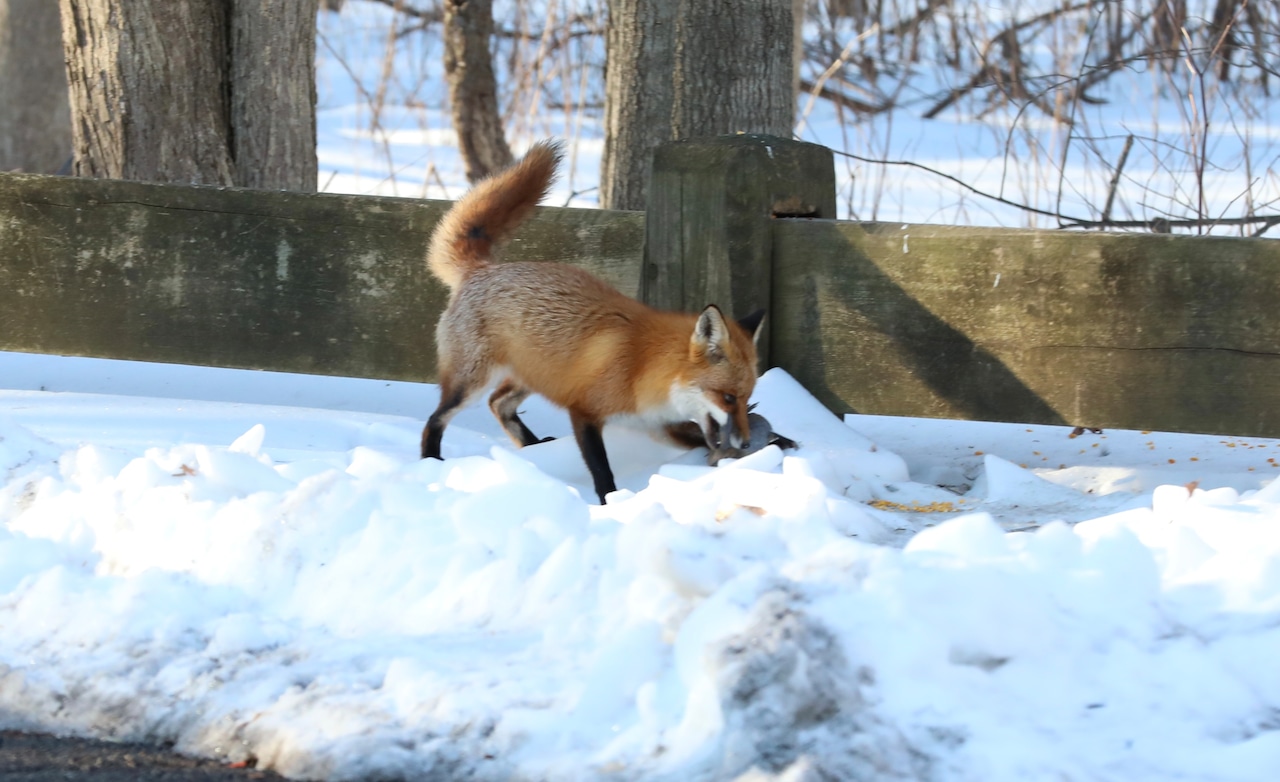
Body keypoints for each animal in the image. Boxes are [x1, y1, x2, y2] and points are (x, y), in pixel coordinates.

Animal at [420, 139, 766, 503]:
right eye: (728, 398)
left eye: (746, 398)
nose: (745, 442)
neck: (643, 367)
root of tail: (482, 270)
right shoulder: (584, 411)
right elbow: (602, 470)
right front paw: (611, 504)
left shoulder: (658, 424)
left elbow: (697, 436)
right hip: (472, 383)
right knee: (436, 418)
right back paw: (431, 461)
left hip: (535, 375)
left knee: (498, 403)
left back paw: (531, 450)